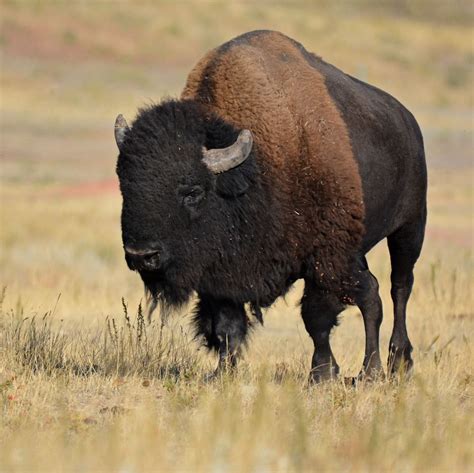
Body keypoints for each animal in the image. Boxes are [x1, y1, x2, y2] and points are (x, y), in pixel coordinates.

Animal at [114, 30, 426, 380]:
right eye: (125, 184)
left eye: (192, 191)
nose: (142, 255)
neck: (256, 168)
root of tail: (407, 122)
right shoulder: (222, 275)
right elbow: (227, 325)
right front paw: (223, 373)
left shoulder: (322, 259)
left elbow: (317, 319)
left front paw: (321, 374)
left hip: (408, 229)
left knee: (397, 288)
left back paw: (388, 365)